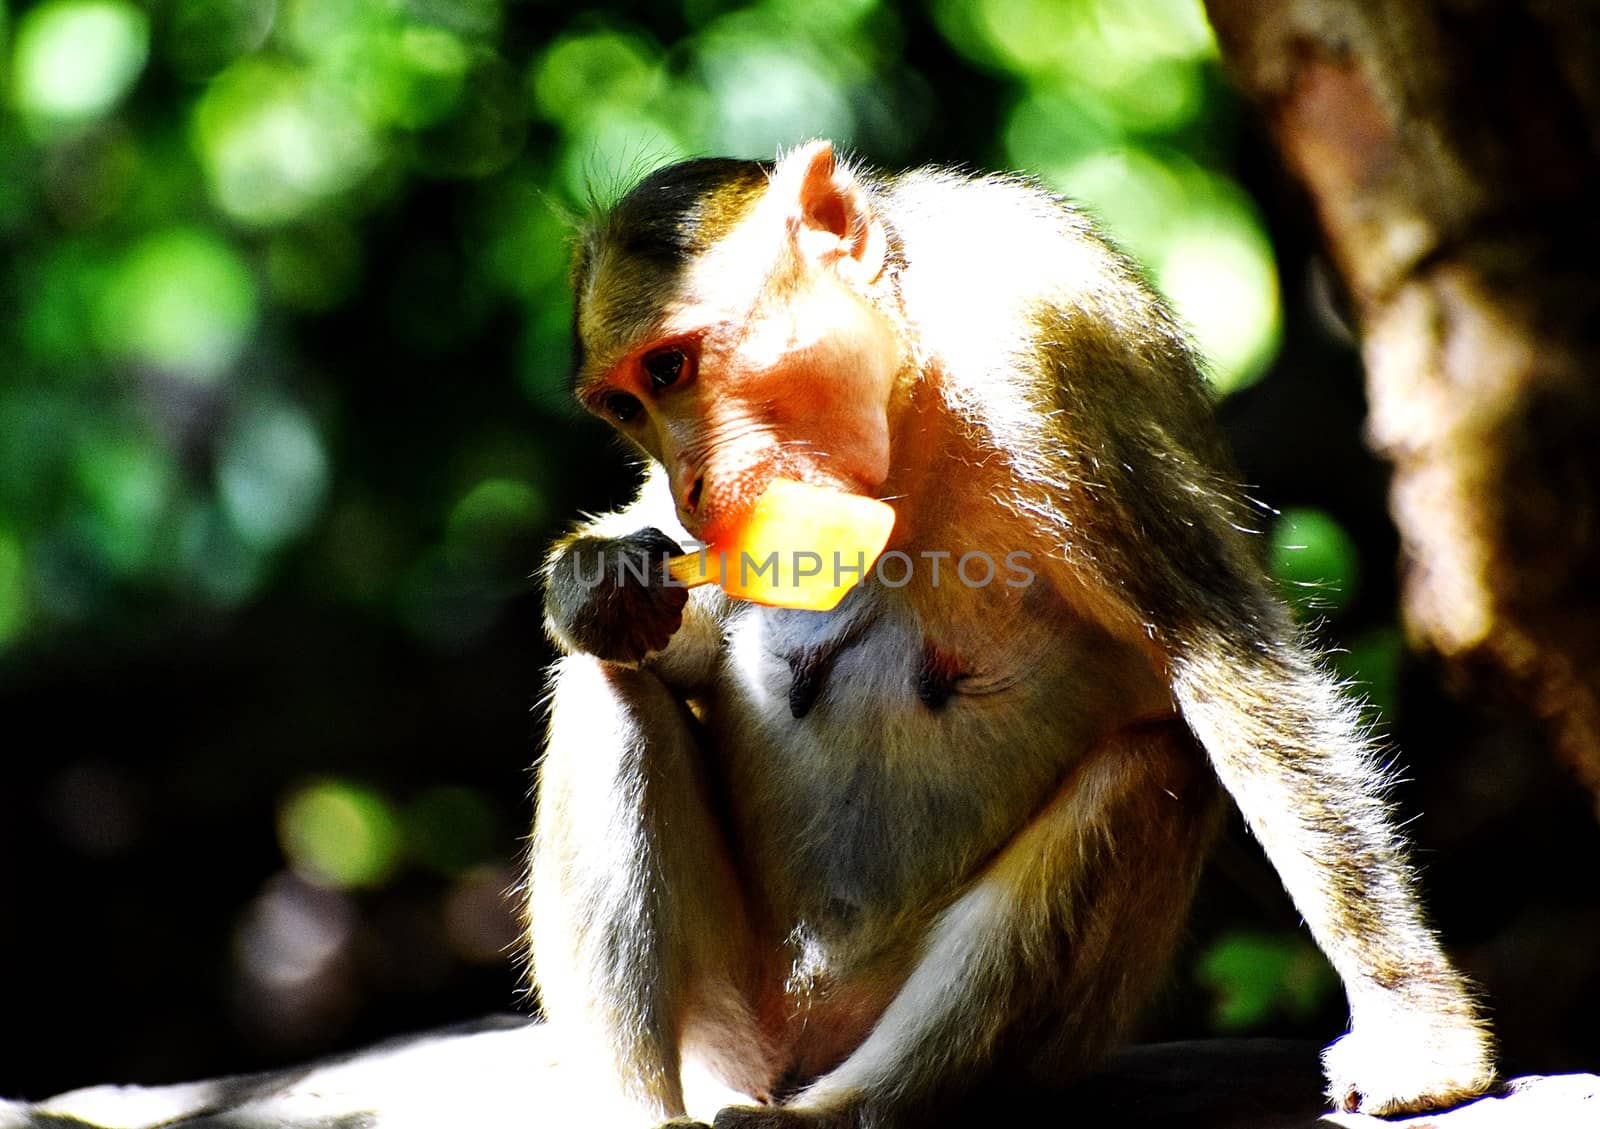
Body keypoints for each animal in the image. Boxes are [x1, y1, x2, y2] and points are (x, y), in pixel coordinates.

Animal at [528, 143, 1497, 1125]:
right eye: (625, 407)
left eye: (670, 369)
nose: (689, 488)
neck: (912, 392)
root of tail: (795, 1051)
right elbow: (669, 637)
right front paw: (600, 582)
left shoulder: (1054, 346)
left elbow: (1222, 661)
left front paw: (1418, 1030)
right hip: (728, 1020)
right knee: (607, 684)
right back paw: (639, 1107)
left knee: (1147, 770)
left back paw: (852, 1107)